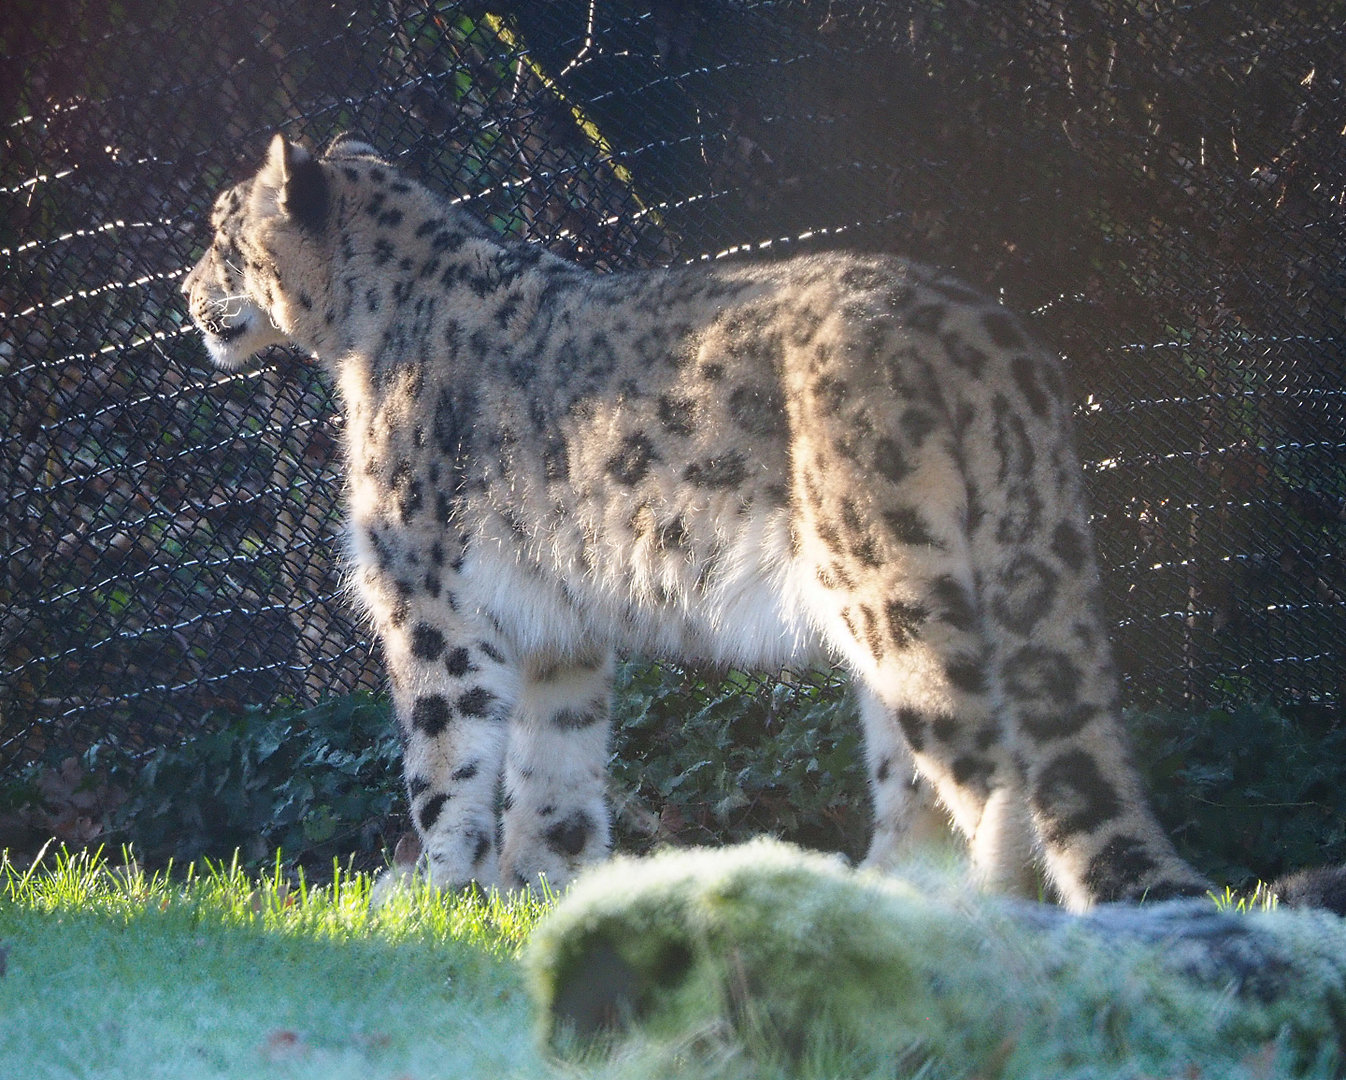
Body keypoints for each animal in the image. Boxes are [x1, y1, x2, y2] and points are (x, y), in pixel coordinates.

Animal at [181, 133, 1210, 910]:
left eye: (221, 233)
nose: (183, 293)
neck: (363, 337)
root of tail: (994, 341)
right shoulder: (556, 628)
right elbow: (553, 766)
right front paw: (545, 889)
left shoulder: (429, 602)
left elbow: (445, 758)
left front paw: (435, 892)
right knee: (918, 772)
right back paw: (873, 894)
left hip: (889, 583)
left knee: (985, 764)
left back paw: (972, 911)